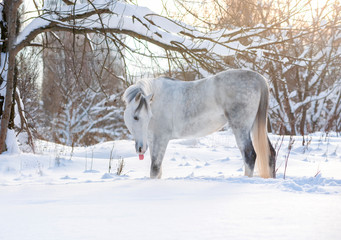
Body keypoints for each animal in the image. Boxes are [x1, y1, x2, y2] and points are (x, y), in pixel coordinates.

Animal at [123, 69, 274, 178]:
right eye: (136, 117)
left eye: (141, 117)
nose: (141, 148)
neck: (159, 98)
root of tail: (259, 79)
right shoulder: (152, 140)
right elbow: (157, 171)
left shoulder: (161, 138)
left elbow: (155, 168)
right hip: (254, 125)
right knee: (270, 153)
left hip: (241, 127)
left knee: (250, 155)